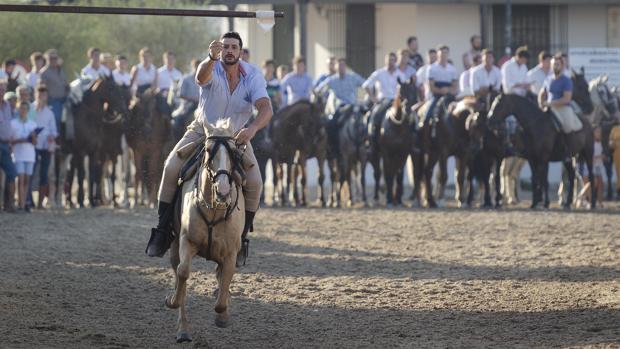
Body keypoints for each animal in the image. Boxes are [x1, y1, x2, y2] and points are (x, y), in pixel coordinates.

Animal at [167, 118, 249, 342]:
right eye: (208, 150)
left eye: (234, 152)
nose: (223, 190)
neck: (214, 209)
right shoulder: (186, 241)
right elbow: (183, 272)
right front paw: (172, 300)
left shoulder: (230, 253)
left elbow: (224, 286)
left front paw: (223, 317)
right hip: (174, 246)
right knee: (179, 274)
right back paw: (183, 330)